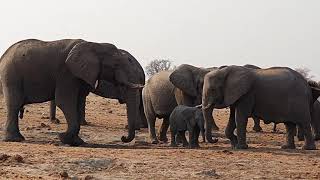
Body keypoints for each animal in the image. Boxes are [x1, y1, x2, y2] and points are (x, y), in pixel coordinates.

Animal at [0, 38, 142, 146]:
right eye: (116, 65)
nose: (122, 138)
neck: (94, 44)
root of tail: (4, 55)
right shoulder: (67, 74)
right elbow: (65, 102)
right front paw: (64, 138)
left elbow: (77, 102)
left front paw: (77, 142)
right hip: (11, 76)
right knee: (14, 104)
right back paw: (15, 139)